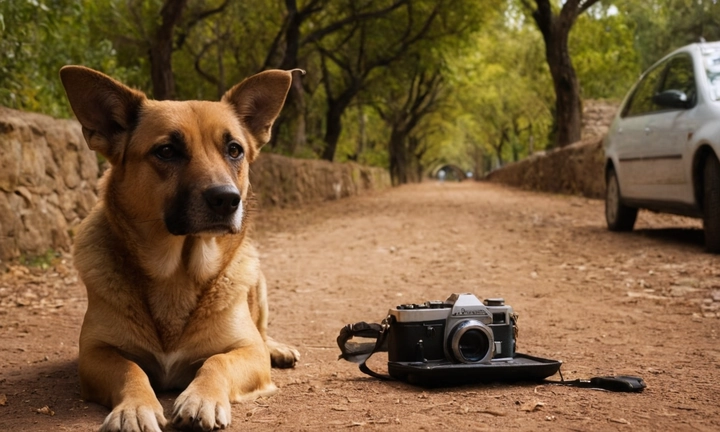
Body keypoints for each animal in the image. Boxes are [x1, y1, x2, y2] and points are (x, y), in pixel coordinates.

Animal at [58, 65, 300, 432]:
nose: (228, 199)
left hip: (258, 286)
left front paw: (202, 399)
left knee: (262, 332)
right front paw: (135, 407)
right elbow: (130, 369)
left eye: (234, 149)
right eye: (167, 150)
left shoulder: (248, 353)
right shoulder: (95, 353)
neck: (178, 273)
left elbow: (217, 362)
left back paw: (278, 349)